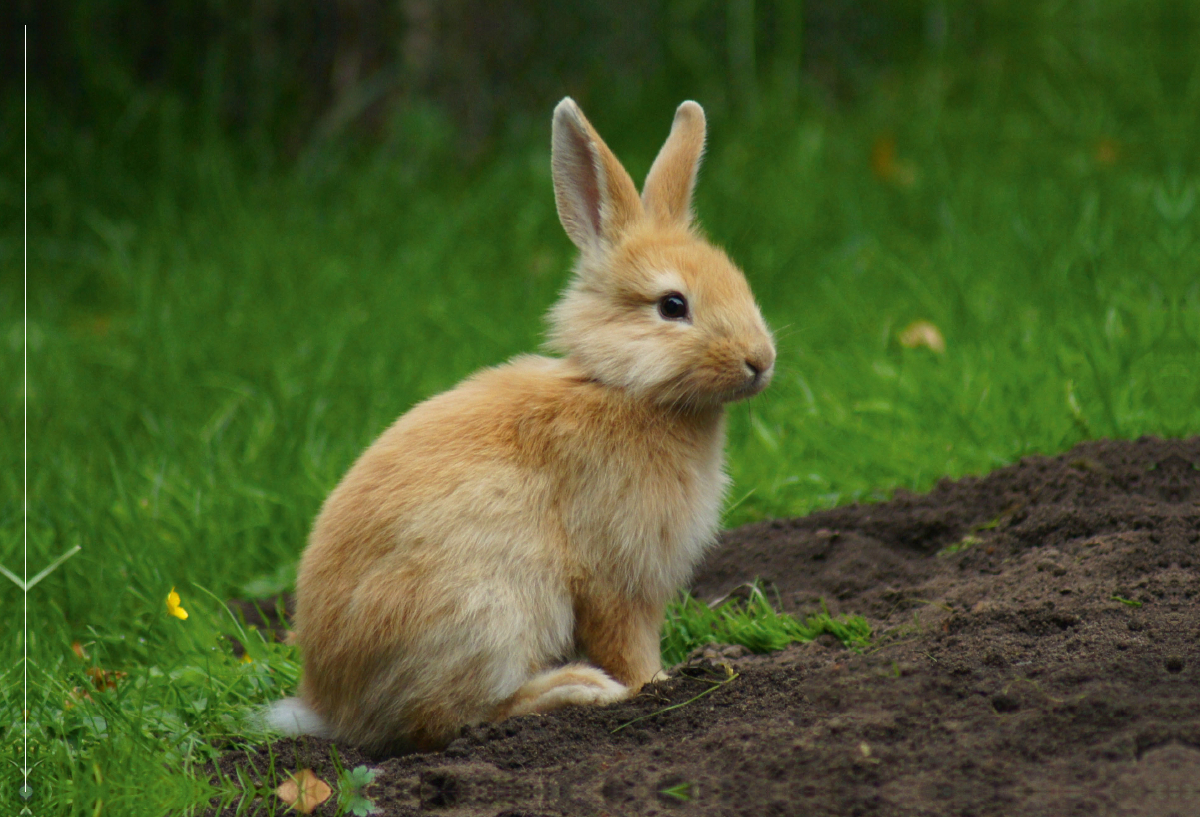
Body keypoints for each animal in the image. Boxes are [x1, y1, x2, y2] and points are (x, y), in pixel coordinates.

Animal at [265, 95, 777, 753]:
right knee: (447, 718)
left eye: (737, 280)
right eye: (672, 306)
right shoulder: (614, 576)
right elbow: (626, 644)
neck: (622, 387)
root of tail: (331, 707)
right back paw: (575, 689)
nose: (761, 360)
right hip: (486, 615)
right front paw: (656, 686)